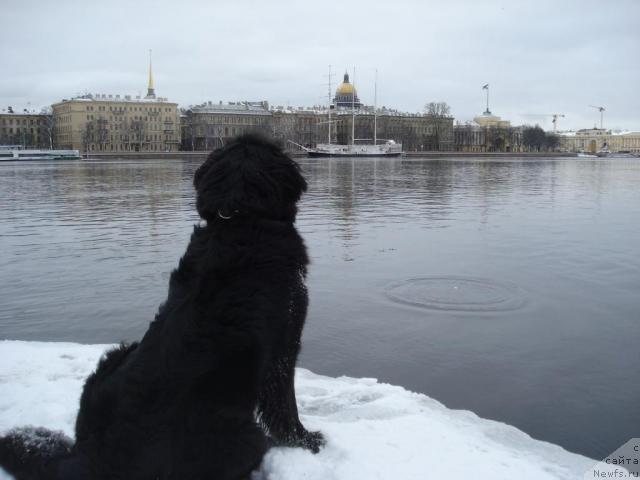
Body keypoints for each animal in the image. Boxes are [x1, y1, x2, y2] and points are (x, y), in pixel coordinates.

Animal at [0, 134, 324, 480]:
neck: (238, 220)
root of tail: (88, 458)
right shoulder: (284, 343)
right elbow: (285, 404)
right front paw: (307, 441)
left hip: (116, 355)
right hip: (242, 434)